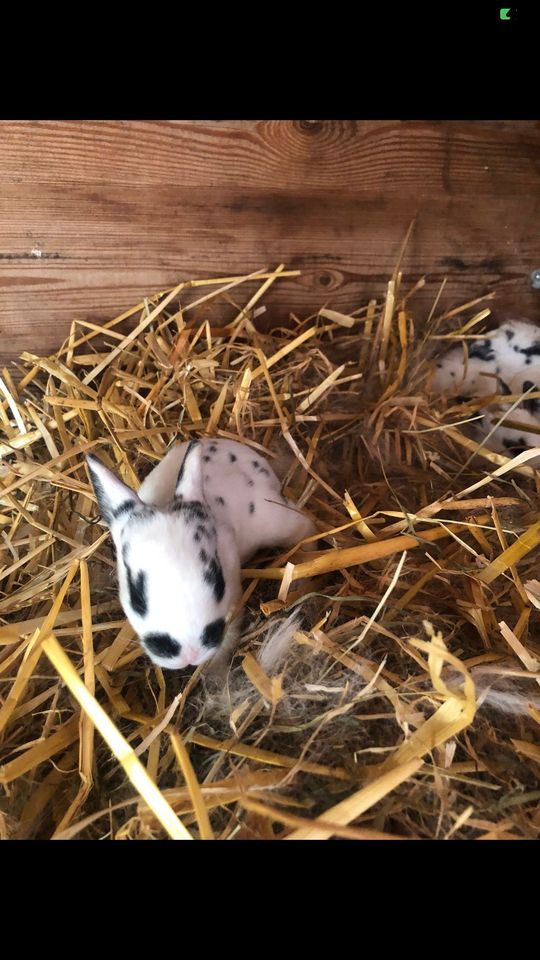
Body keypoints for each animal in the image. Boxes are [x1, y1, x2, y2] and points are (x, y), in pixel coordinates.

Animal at [85, 438, 316, 672]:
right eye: (136, 596)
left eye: (218, 583)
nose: (190, 654)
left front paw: (215, 667)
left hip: (276, 522)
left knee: (307, 528)